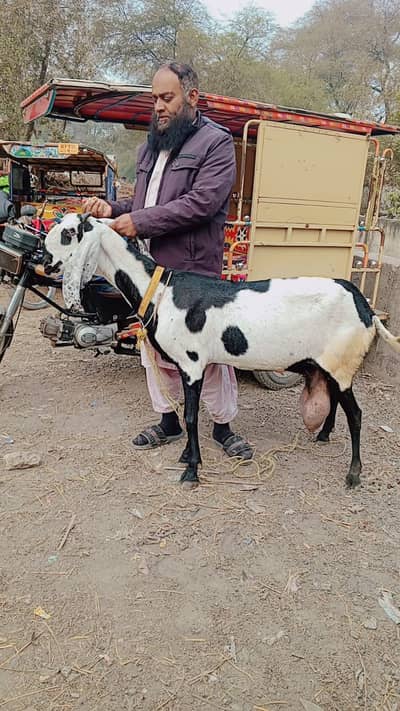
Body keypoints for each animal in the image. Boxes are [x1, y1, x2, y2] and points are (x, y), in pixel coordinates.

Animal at [44, 213, 400, 489]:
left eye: (67, 233)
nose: (44, 261)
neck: (161, 290)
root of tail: (364, 304)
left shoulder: (192, 364)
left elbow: (190, 417)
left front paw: (191, 471)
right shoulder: (184, 365)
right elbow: (186, 414)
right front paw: (187, 458)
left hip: (341, 362)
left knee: (356, 414)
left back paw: (353, 474)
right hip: (329, 363)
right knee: (336, 401)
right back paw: (323, 435)